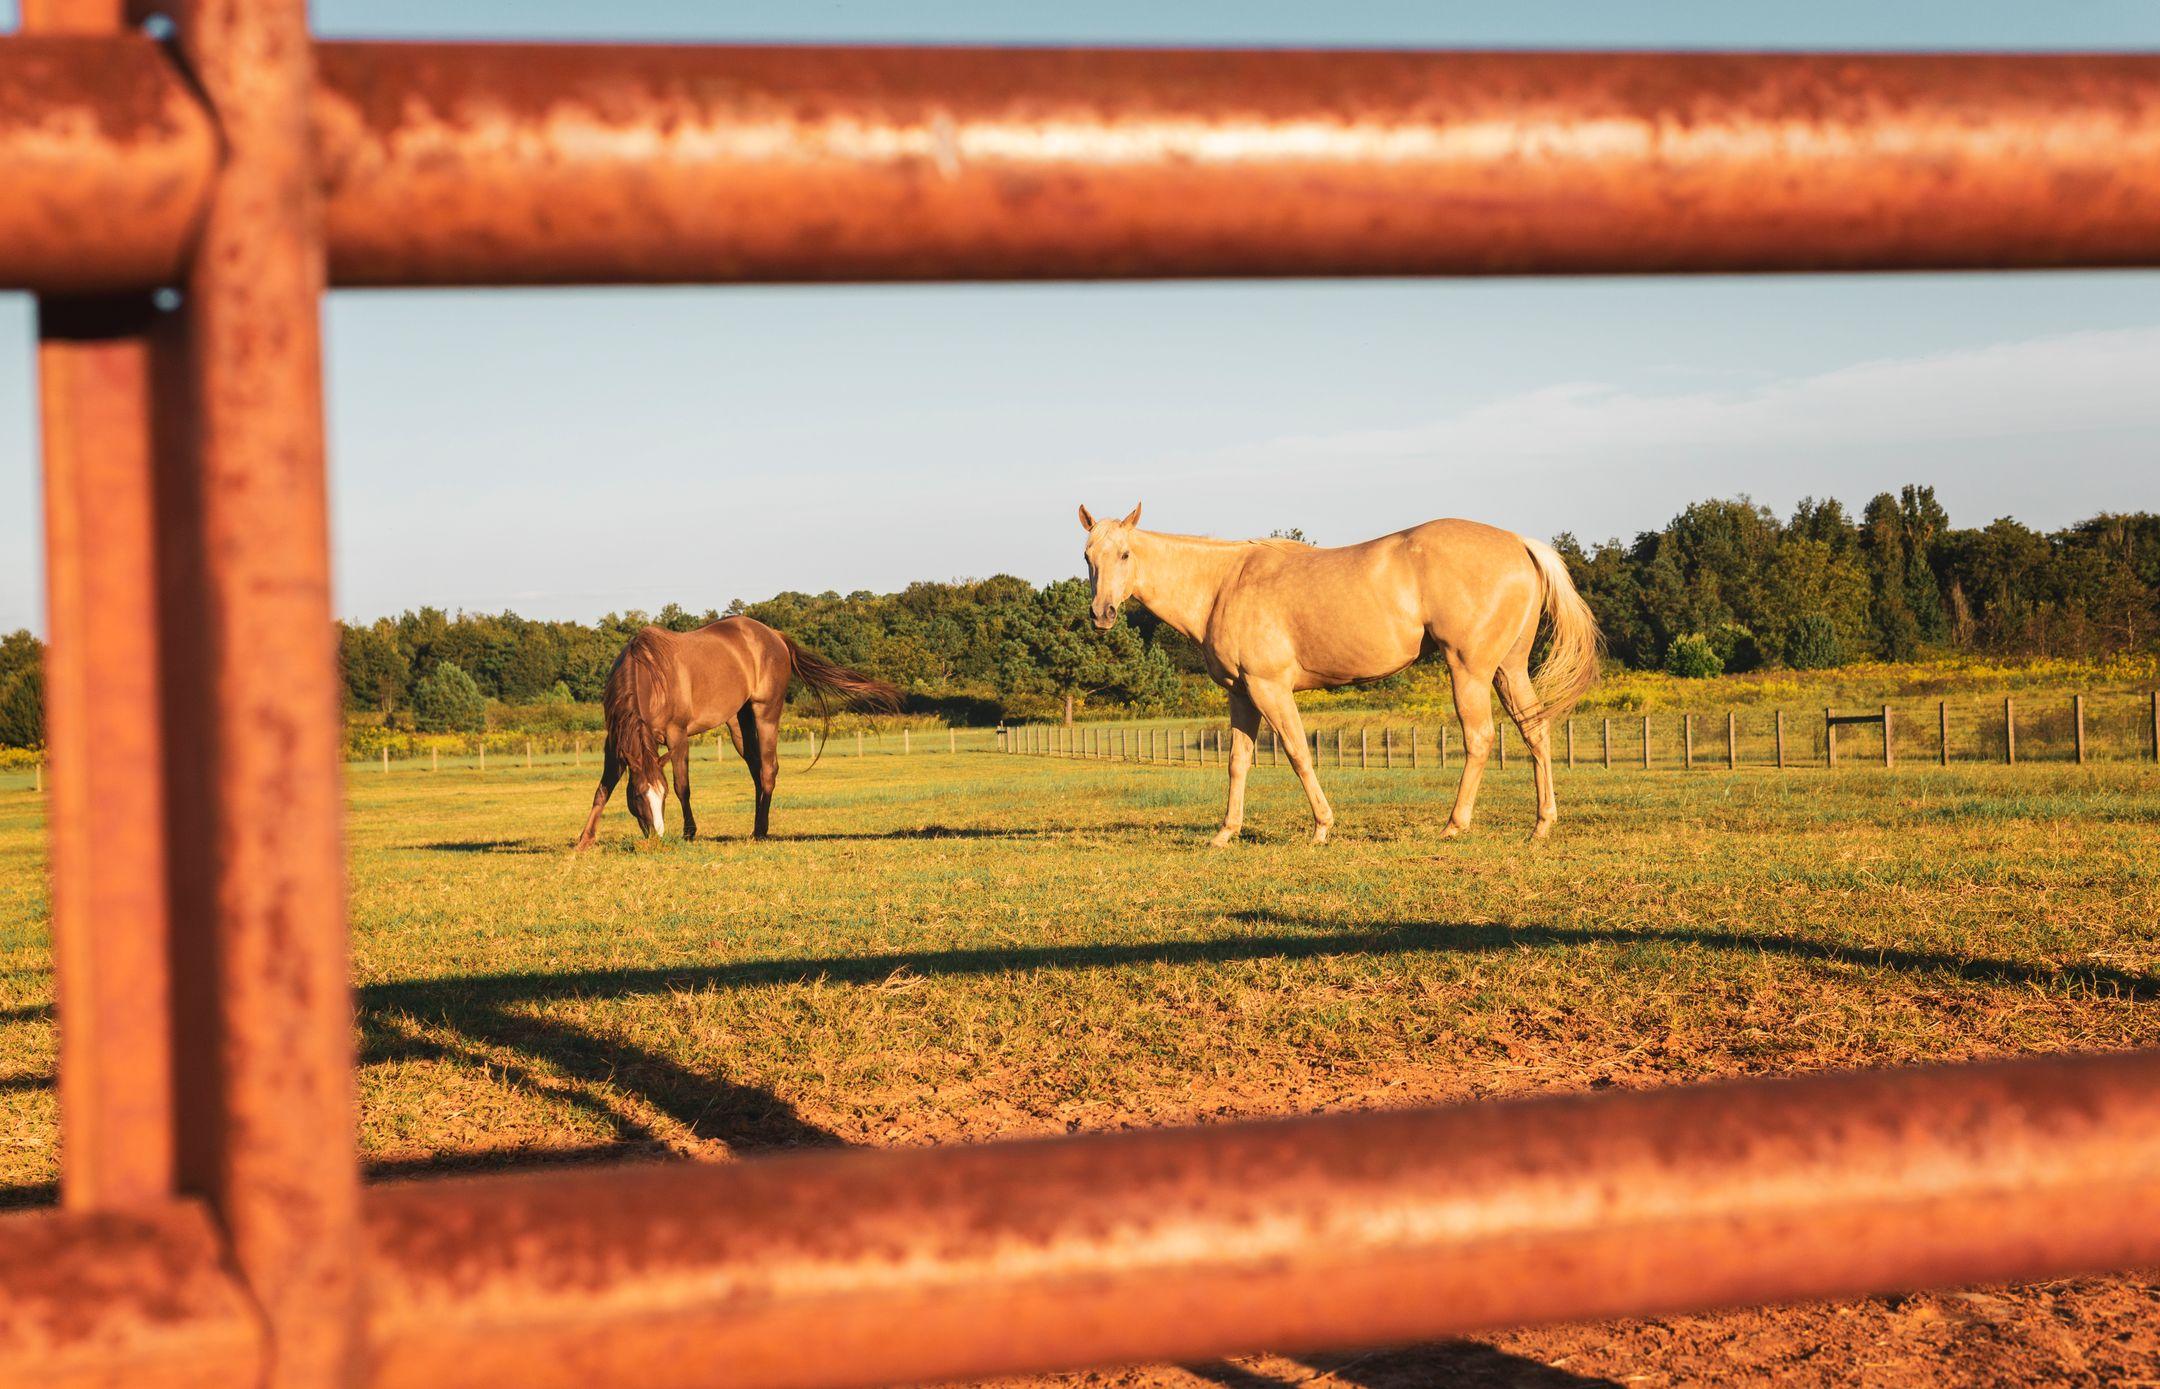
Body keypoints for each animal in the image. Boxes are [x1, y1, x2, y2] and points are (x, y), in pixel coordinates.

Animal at [573, 616, 897, 848]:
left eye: (661, 796)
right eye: (639, 795)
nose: (657, 838)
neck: (651, 674)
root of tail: (774, 635)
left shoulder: (678, 737)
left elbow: (682, 785)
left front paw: (690, 833)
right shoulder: (616, 742)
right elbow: (602, 789)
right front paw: (584, 839)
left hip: (765, 714)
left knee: (768, 769)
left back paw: (761, 831)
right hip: (739, 722)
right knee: (757, 771)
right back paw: (756, 826)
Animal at [1077, 503, 1602, 845]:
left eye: (1124, 555)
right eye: (1087, 556)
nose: (1102, 614)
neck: (1225, 584)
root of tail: (1519, 543)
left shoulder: (1270, 689)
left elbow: (1296, 753)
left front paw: (1321, 827)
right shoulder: (1241, 695)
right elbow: (1238, 761)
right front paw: (1226, 832)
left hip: (1468, 670)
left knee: (1479, 739)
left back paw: (1455, 825)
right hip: (1509, 671)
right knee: (1536, 732)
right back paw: (1541, 825)